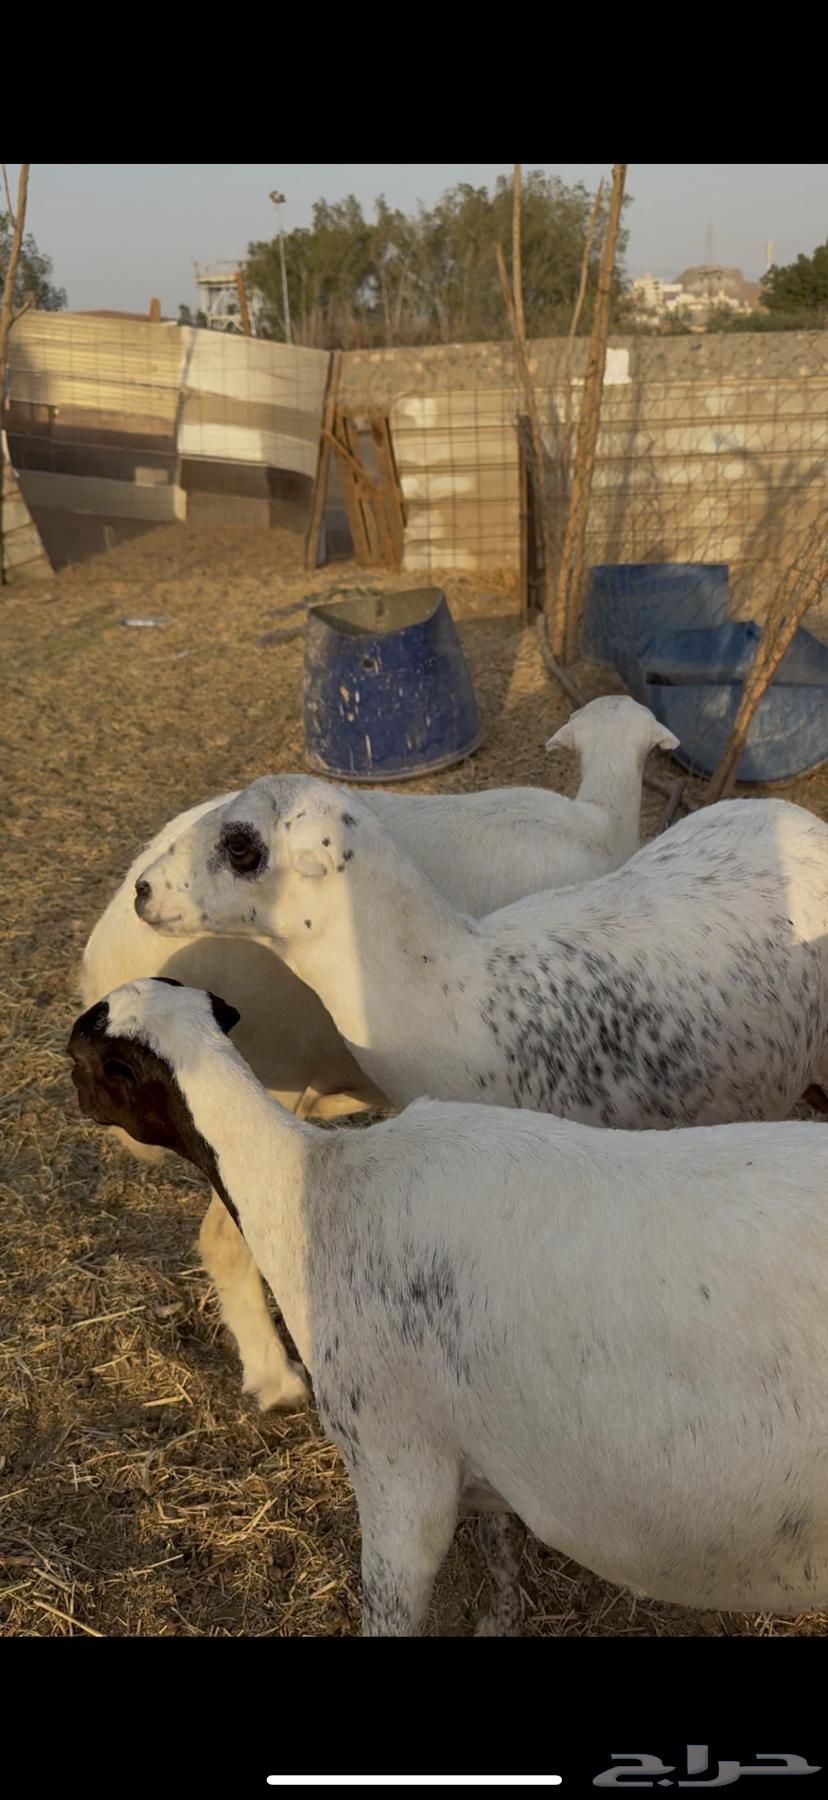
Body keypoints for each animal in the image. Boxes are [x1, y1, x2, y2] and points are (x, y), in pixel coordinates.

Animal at [67, 978, 828, 1633]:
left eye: (85, 1060)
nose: (70, 1094)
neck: (307, 1183)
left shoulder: (395, 1468)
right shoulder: (480, 1444)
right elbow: (499, 1545)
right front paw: (501, 1617)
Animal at [81, 696, 676, 1410]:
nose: (151, 892)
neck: (598, 826)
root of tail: (107, 945)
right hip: (258, 1076)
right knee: (227, 1235)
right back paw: (277, 1378)